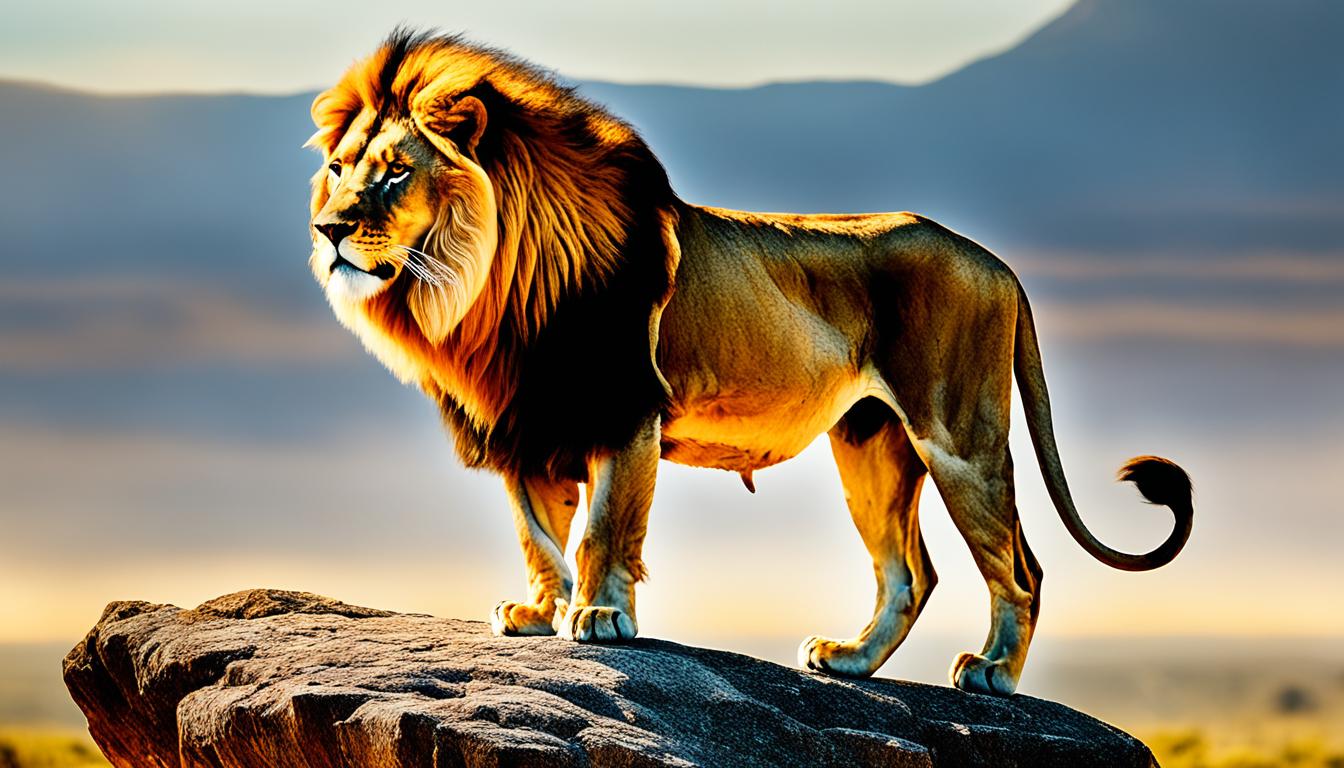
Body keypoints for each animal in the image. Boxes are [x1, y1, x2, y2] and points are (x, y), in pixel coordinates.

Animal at [306, 29, 1194, 696]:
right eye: (340, 168)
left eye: (394, 172)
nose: (329, 229)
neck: (484, 288)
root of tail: (997, 262)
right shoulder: (524, 423)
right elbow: (537, 534)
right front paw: (537, 612)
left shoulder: (624, 405)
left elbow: (604, 529)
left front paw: (599, 618)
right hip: (872, 445)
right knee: (909, 573)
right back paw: (849, 660)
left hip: (959, 438)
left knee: (1021, 568)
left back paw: (994, 673)